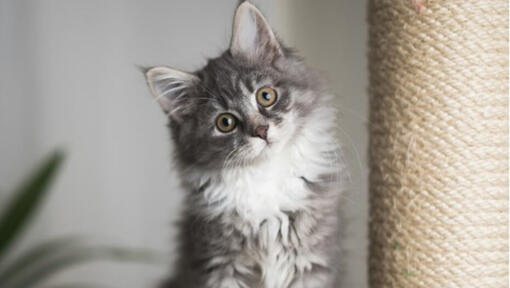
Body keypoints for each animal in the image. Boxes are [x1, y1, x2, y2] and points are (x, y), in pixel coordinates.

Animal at [142, 1, 346, 286]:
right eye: (225, 122)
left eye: (266, 96)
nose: (261, 130)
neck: (265, 175)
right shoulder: (220, 264)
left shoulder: (312, 261)